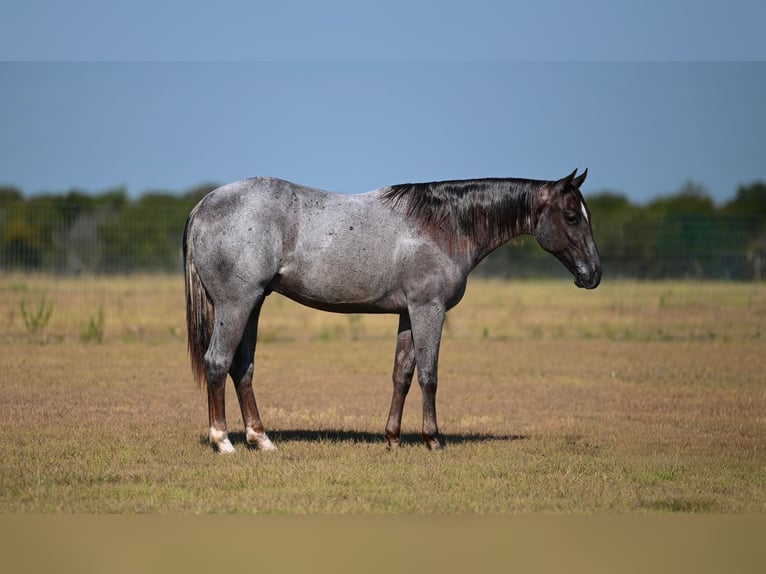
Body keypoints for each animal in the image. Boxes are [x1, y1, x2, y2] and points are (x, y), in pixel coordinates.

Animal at [184, 169, 601, 453]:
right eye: (572, 217)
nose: (593, 274)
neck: (445, 224)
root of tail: (204, 204)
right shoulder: (429, 309)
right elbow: (429, 375)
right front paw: (433, 439)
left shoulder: (408, 313)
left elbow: (402, 374)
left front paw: (393, 438)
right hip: (236, 304)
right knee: (218, 362)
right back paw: (223, 441)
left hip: (253, 304)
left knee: (243, 368)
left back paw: (261, 439)